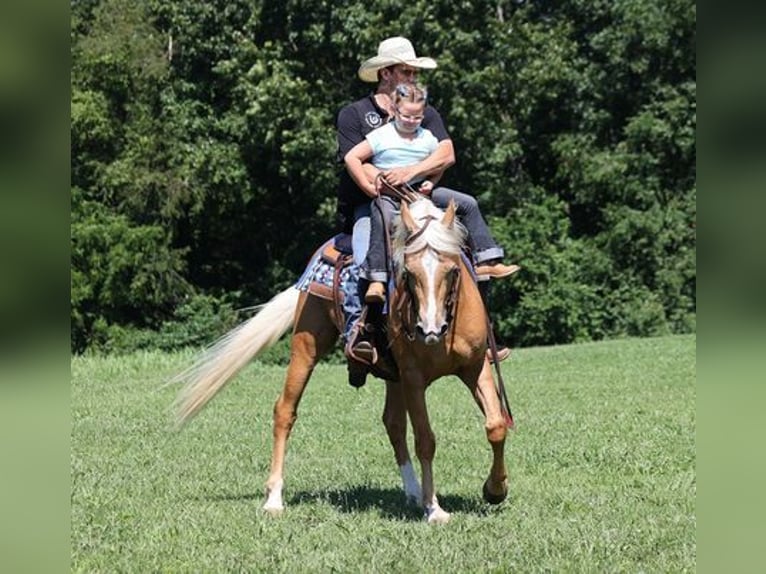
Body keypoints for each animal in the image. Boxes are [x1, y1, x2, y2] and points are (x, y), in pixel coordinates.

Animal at [173, 198, 510, 528]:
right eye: (408, 273)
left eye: (452, 270)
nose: (430, 329)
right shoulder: (414, 378)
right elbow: (425, 440)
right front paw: (435, 509)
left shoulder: (474, 367)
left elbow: (496, 425)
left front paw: (495, 490)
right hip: (307, 346)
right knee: (285, 411)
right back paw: (274, 500)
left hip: (393, 375)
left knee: (393, 423)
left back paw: (413, 492)